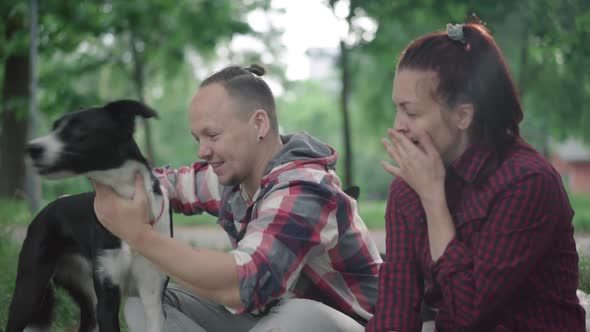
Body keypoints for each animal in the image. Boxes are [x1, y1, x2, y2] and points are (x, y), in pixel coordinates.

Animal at [6, 100, 169, 332]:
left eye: (78, 130)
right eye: (54, 128)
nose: (32, 148)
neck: (127, 201)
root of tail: (46, 210)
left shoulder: (153, 298)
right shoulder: (107, 298)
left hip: (85, 295)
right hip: (30, 288)